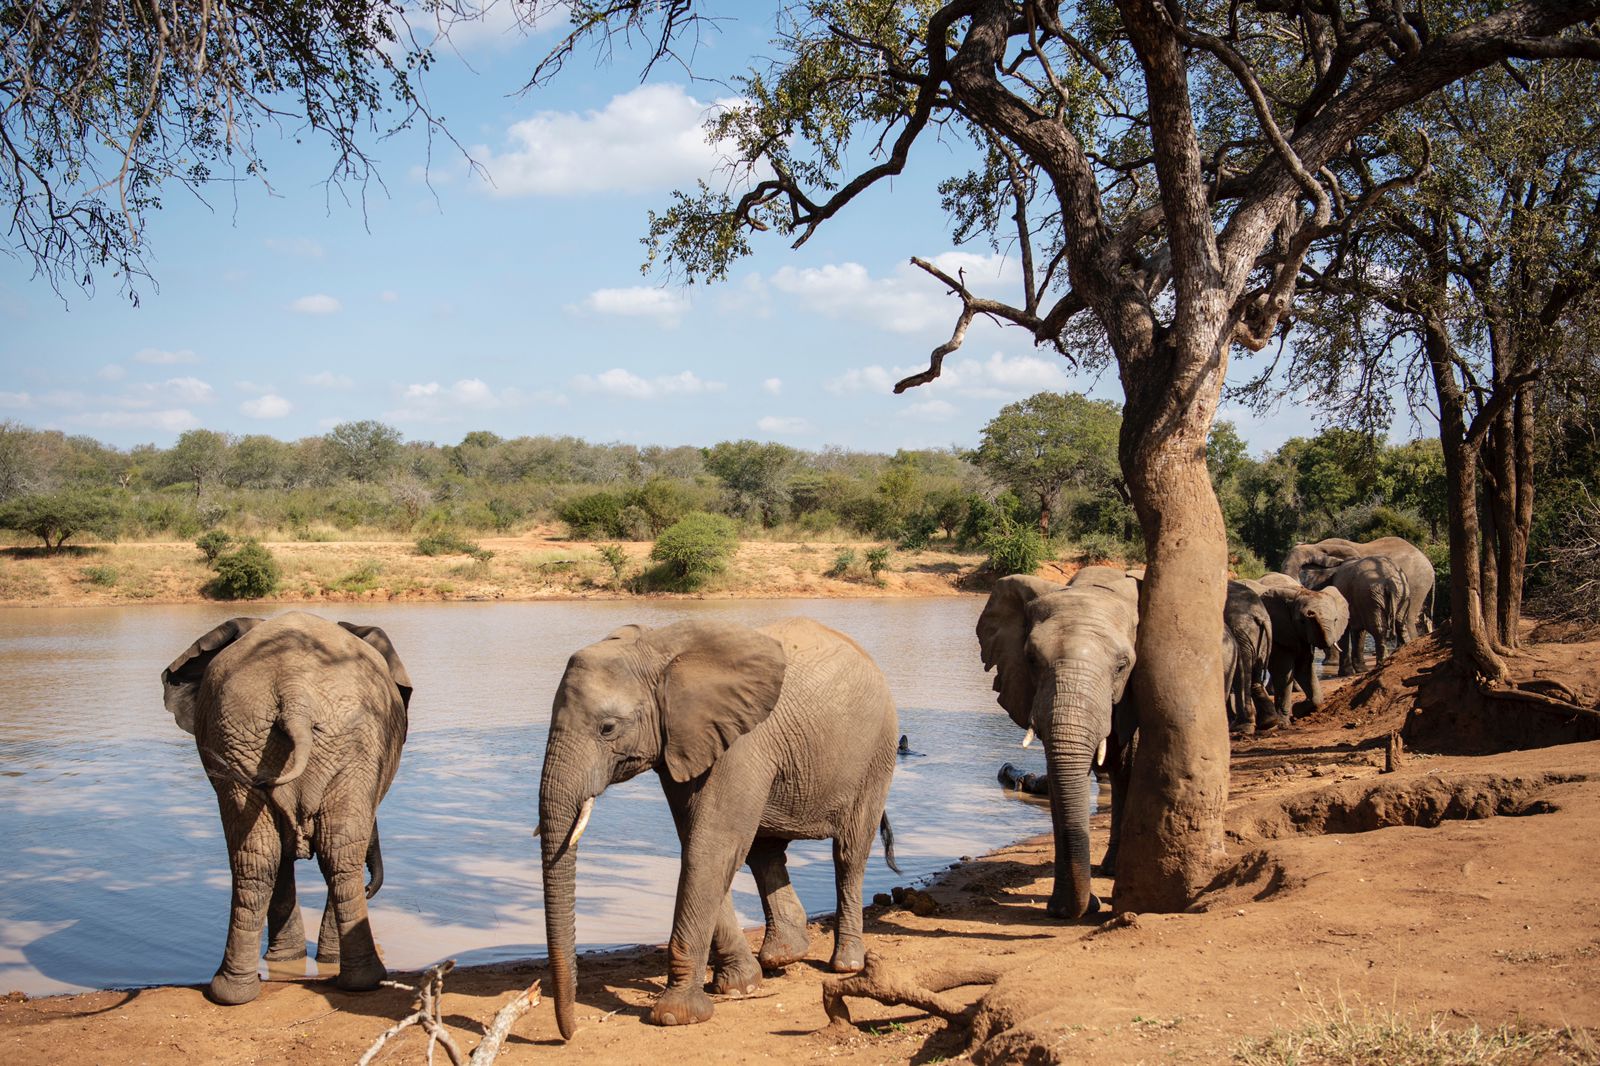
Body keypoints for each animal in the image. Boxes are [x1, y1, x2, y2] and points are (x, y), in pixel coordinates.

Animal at [160, 612, 412, 1005]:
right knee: (321, 854)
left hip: (260, 736)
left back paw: (235, 992)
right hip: (277, 735)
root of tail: (294, 695)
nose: (373, 887)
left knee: (268, 857)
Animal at [537, 618, 900, 1037]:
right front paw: (740, 986)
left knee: (849, 853)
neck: (657, 650)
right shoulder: (683, 743)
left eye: (607, 728)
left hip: (877, 753)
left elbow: (710, 847)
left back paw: (846, 964)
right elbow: (700, 844)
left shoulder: (741, 743)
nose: (569, 1033)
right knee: (764, 852)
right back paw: (782, 956)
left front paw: (675, 1016)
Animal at [1223, 580, 1275, 733]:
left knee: (1242, 675)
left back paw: (1241, 727)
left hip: (1242, 634)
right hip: (1259, 639)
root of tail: (1260, 615)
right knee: (1254, 675)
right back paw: (1268, 722)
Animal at [1254, 584, 1349, 719]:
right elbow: (1284, 672)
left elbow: (1304, 668)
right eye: (1302, 621)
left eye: (1336, 620)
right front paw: (1283, 721)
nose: (1311, 613)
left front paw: (1298, 710)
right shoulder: (1279, 634)